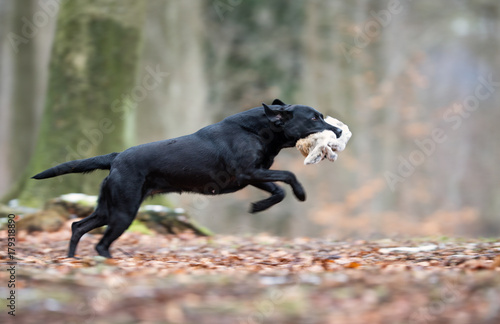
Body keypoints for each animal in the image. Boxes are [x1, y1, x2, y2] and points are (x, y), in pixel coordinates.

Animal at [33, 100, 342, 256]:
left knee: (78, 226)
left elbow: (278, 190)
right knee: (100, 243)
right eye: (313, 118)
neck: (257, 130)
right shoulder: (248, 173)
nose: (338, 132)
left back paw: (72, 260)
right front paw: (300, 193)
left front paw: (258, 206)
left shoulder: (253, 176)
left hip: (109, 209)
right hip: (123, 211)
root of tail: (117, 157)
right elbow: (288, 176)